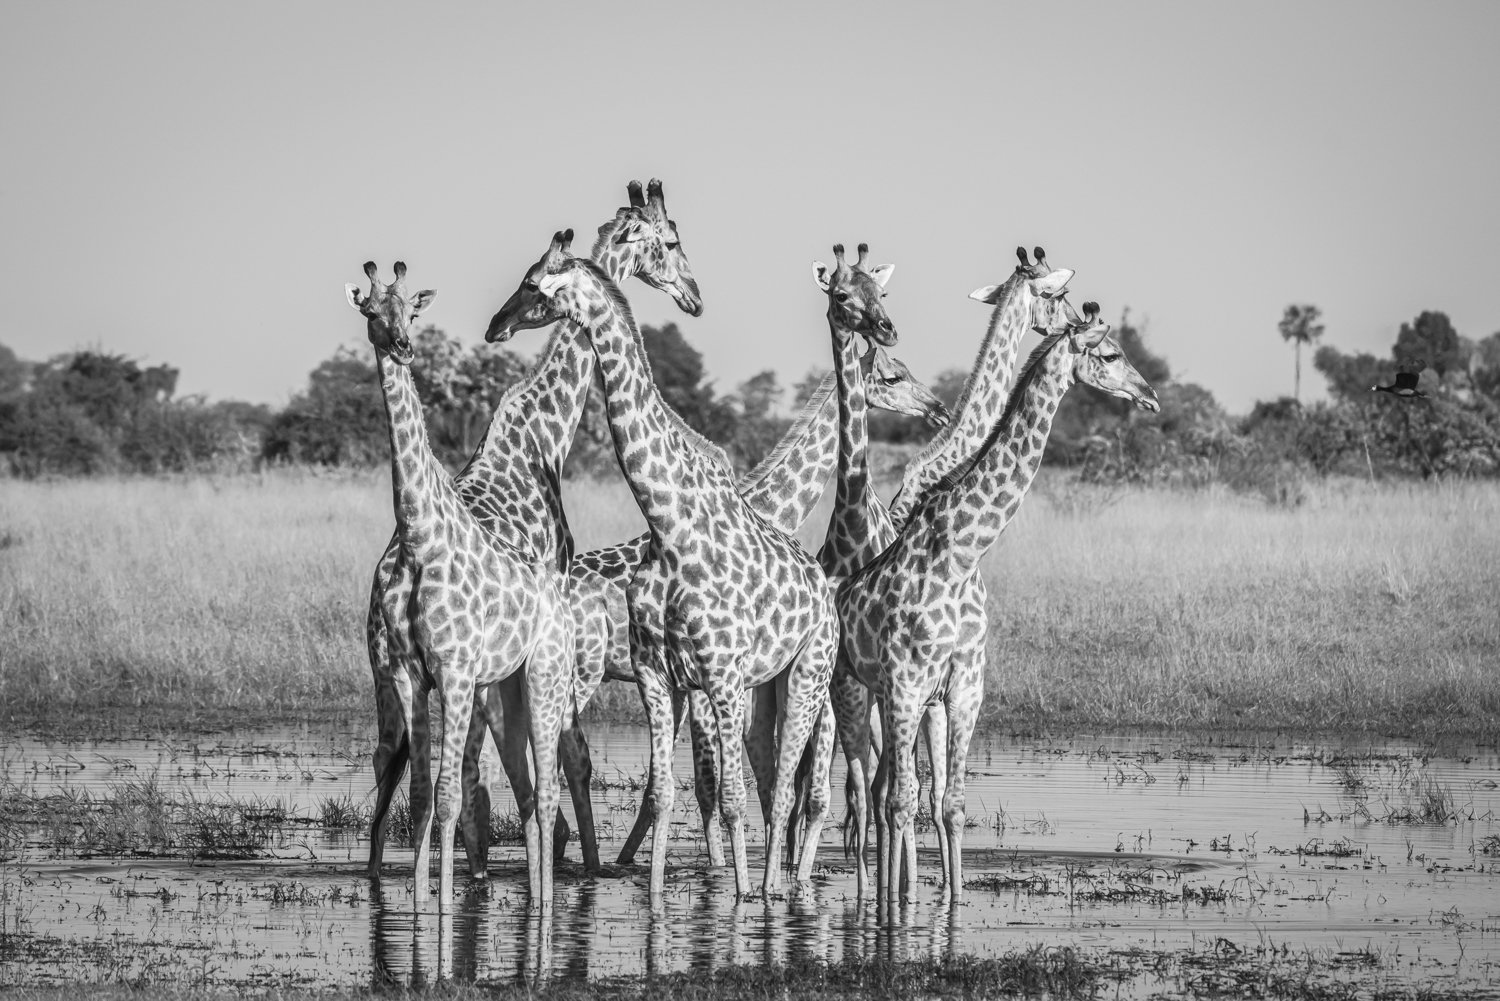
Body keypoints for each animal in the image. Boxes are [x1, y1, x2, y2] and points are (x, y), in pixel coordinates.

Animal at [344, 261, 572, 914]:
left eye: (412, 312)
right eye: (370, 311)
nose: (402, 345)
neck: (418, 535)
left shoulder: (454, 668)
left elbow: (448, 796)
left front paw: (446, 908)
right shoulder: (409, 671)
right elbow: (423, 797)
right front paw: (422, 906)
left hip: (544, 675)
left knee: (548, 790)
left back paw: (546, 904)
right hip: (505, 689)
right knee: (524, 790)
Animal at [365, 180, 701, 879]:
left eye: (530, 279)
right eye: (673, 240)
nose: (694, 295)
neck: (547, 434)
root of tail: (391, 575)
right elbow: (567, 756)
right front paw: (588, 863)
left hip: (387, 672)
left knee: (393, 770)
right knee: (462, 773)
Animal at [489, 243, 839, 899]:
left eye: (531, 283)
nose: (497, 325)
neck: (669, 526)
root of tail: (824, 589)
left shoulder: (721, 675)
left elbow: (728, 797)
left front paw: (738, 898)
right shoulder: (659, 673)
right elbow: (663, 793)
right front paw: (653, 897)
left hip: (809, 669)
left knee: (784, 787)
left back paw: (774, 890)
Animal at [837, 299, 1160, 914]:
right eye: (1110, 354)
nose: (1150, 395)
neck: (961, 553)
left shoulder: (964, 685)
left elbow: (951, 804)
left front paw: (954, 901)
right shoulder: (907, 683)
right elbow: (902, 801)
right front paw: (899, 912)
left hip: (893, 700)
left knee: (885, 791)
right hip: (852, 693)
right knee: (866, 795)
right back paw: (869, 896)